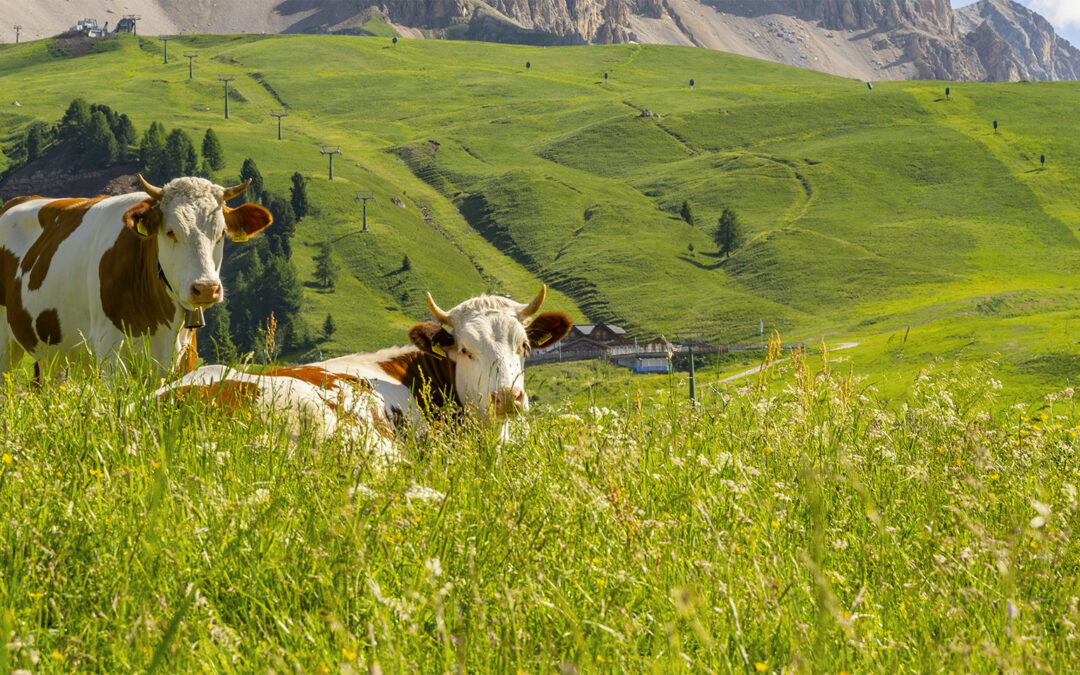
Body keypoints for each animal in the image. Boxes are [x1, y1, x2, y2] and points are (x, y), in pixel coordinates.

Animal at [0, 176, 271, 376]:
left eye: (222, 232)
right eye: (170, 232)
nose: (205, 288)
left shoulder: (184, 357)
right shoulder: (110, 352)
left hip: (55, 354)